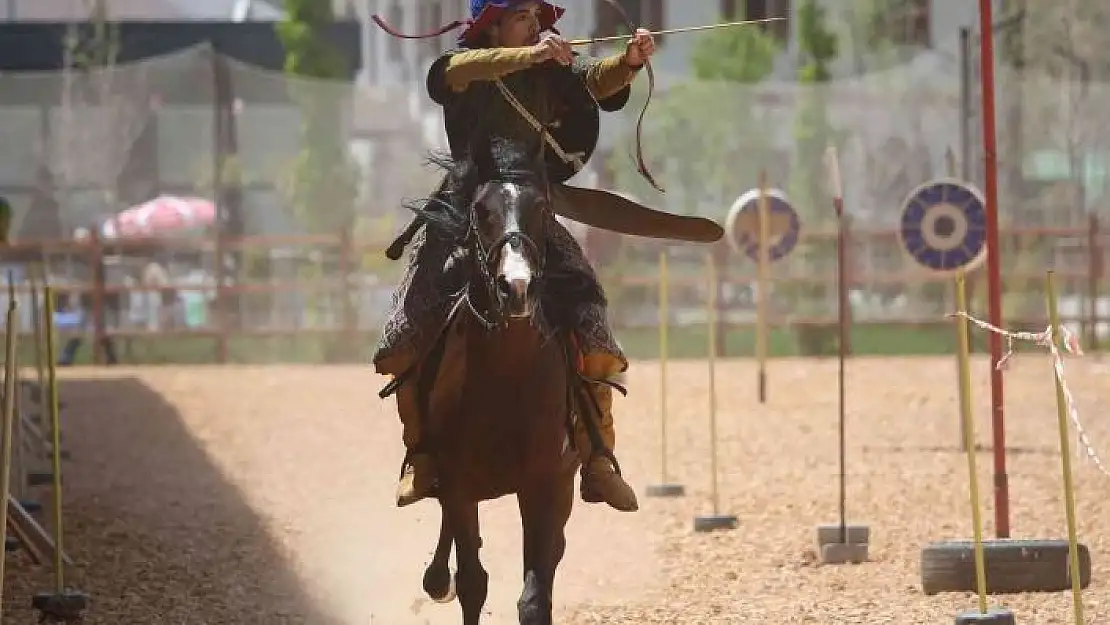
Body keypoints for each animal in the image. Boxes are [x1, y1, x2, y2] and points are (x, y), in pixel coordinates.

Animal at [399, 138, 608, 625]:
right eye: (481, 209)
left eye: (543, 206)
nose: (515, 287)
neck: (505, 382)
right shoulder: (458, 484)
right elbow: (473, 582)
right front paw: (449, 579)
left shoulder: (547, 484)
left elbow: (535, 595)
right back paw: (437, 577)